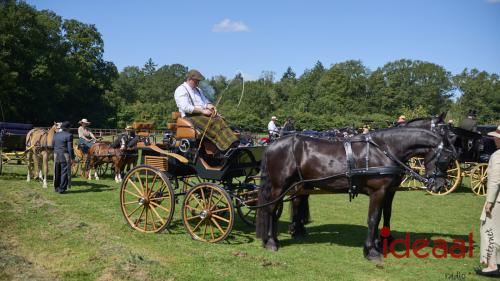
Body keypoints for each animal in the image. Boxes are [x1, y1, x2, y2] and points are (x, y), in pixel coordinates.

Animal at [256, 126, 456, 260]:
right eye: (446, 159)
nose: (440, 186)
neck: (384, 150)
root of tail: (272, 145)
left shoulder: (387, 192)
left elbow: (383, 216)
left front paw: (379, 243)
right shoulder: (378, 192)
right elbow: (373, 219)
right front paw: (371, 251)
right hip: (279, 186)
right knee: (271, 210)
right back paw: (272, 241)